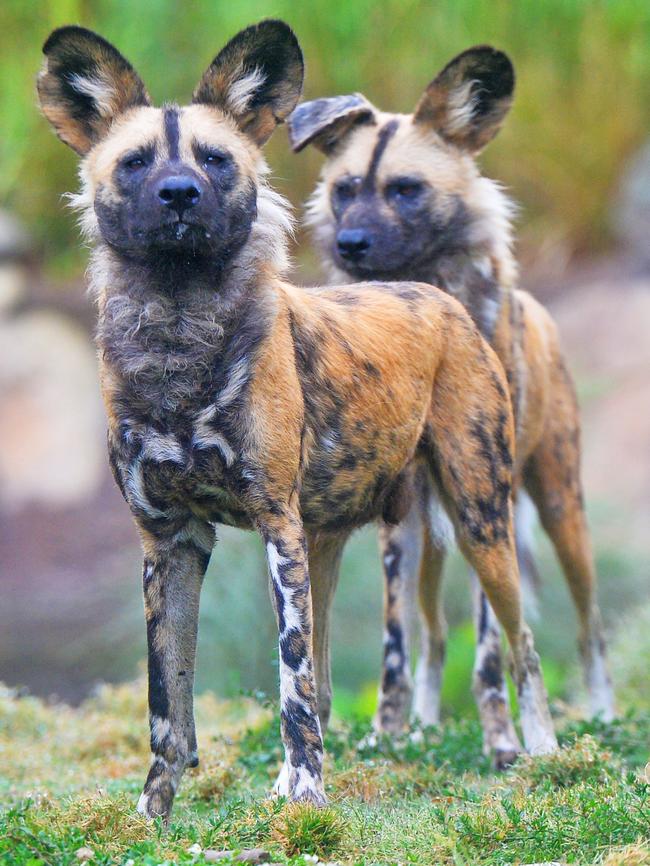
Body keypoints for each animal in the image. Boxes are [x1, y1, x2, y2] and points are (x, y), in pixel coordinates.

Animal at [40, 23, 556, 812]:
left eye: (215, 158)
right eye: (135, 163)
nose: (180, 193)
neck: (178, 333)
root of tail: (437, 297)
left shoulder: (274, 525)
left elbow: (291, 681)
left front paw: (308, 794)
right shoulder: (169, 543)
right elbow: (169, 707)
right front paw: (155, 812)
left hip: (478, 522)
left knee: (517, 644)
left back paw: (544, 755)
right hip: (333, 541)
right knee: (328, 667)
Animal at [288, 44, 612, 760]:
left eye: (405, 190)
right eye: (345, 190)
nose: (351, 243)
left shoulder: (490, 503)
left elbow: (490, 646)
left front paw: (502, 739)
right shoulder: (393, 525)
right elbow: (396, 645)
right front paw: (387, 731)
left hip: (553, 511)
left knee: (590, 624)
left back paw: (599, 715)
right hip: (428, 530)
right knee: (434, 635)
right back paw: (426, 724)